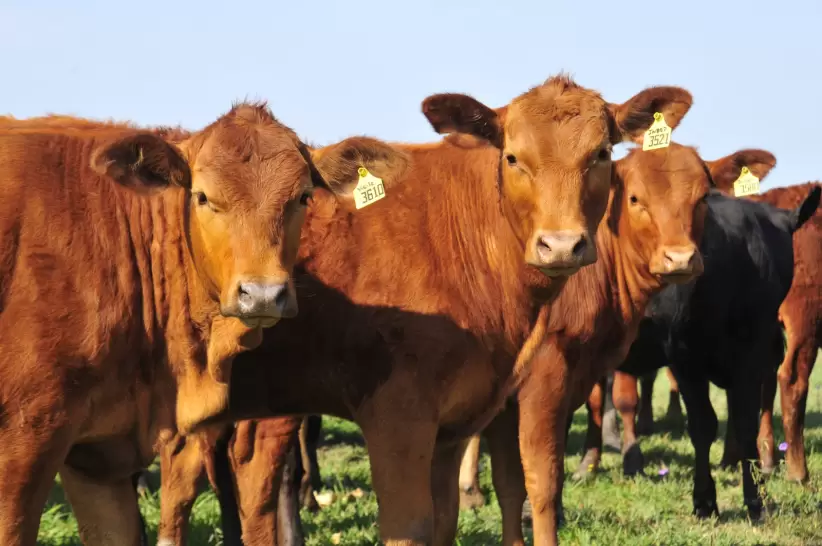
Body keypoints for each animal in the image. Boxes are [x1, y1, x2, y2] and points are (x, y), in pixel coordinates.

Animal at [153, 74, 695, 546]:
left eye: (601, 154)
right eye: (513, 157)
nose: (561, 245)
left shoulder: (462, 418)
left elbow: (463, 509)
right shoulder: (406, 414)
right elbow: (510, 495)